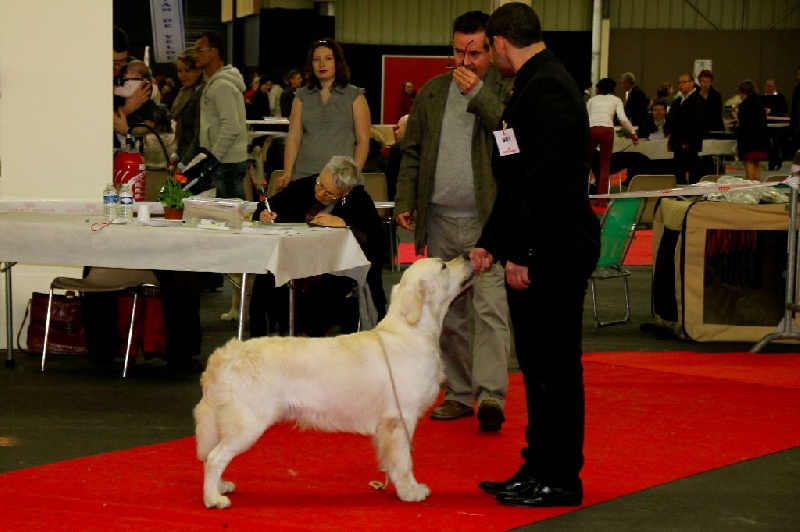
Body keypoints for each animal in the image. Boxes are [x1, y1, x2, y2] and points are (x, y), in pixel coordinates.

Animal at [194, 255, 475, 508]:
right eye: (443, 266)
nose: (469, 257)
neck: (412, 331)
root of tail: (224, 356)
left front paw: (409, 487)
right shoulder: (401, 418)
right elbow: (404, 460)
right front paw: (409, 492)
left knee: (211, 455)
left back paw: (220, 486)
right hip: (248, 423)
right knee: (215, 457)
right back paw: (213, 499)